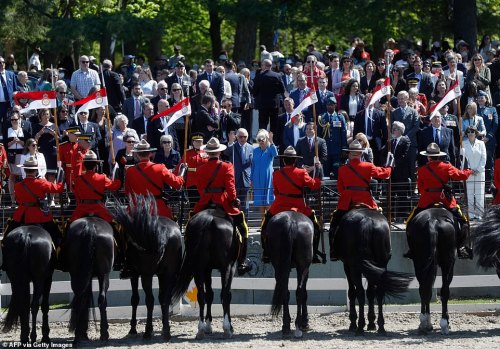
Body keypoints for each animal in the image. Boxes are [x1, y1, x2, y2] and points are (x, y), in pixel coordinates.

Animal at [65, 216, 114, 344]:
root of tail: (90, 226)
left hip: (76, 274)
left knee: (80, 298)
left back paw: (78, 336)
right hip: (104, 275)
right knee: (102, 299)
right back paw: (104, 334)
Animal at [114, 193, 183, 340]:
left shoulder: (135, 274)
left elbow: (135, 299)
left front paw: (133, 329)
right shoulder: (162, 274)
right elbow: (162, 299)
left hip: (147, 275)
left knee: (150, 300)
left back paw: (147, 331)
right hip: (168, 274)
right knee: (165, 299)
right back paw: (166, 332)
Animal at [173, 208, 239, 338]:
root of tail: (208, 220)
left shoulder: (207, 269)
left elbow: (209, 295)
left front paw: (208, 325)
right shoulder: (231, 267)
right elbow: (226, 294)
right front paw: (230, 326)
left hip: (199, 268)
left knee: (201, 296)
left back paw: (201, 329)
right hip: (226, 267)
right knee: (225, 294)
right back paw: (226, 328)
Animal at [270, 209, 312, 338]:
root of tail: (291, 222)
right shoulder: (306, 269)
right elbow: (305, 293)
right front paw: (305, 322)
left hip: (279, 266)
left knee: (285, 291)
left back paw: (286, 325)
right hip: (303, 267)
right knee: (300, 292)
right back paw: (298, 324)